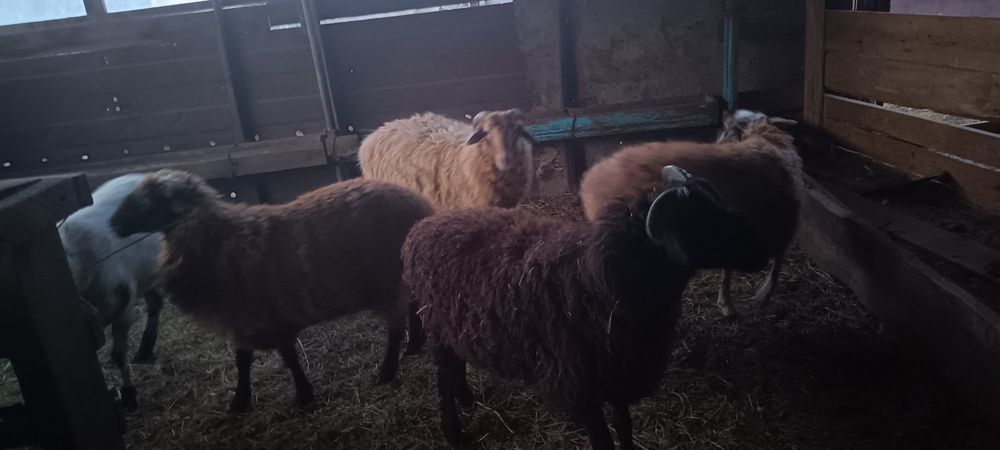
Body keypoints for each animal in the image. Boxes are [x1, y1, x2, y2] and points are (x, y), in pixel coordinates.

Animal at [58, 174, 165, 409]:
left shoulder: (122, 309)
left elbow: (118, 354)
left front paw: (129, 395)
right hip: (143, 274)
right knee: (155, 303)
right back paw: (144, 350)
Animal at [108, 170, 433, 412]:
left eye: (148, 202)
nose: (113, 223)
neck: (219, 240)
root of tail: (418, 203)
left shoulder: (268, 313)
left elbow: (287, 357)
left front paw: (303, 394)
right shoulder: (246, 319)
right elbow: (243, 361)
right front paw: (240, 401)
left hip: (386, 281)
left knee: (396, 327)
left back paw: (387, 371)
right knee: (414, 308)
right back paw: (413, 346)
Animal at [402, 166, 769, 450]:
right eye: (702, 220)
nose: (762, 246)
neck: (598, 279)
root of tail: (421, 229)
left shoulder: (619, 371)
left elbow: (624, 426)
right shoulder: (581, 385)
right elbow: (603, 440)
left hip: (455, 325)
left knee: (457, 364)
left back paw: (467, 398)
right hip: (435, 325)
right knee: (442, 376)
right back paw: (453, 431)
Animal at [579, 109, 803, 318]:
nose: (725, 112)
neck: (767, 139)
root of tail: (590, 179)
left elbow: (731, 269)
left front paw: (726, 303)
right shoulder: (782, 222)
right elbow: (776, 264)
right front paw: (762, 297)